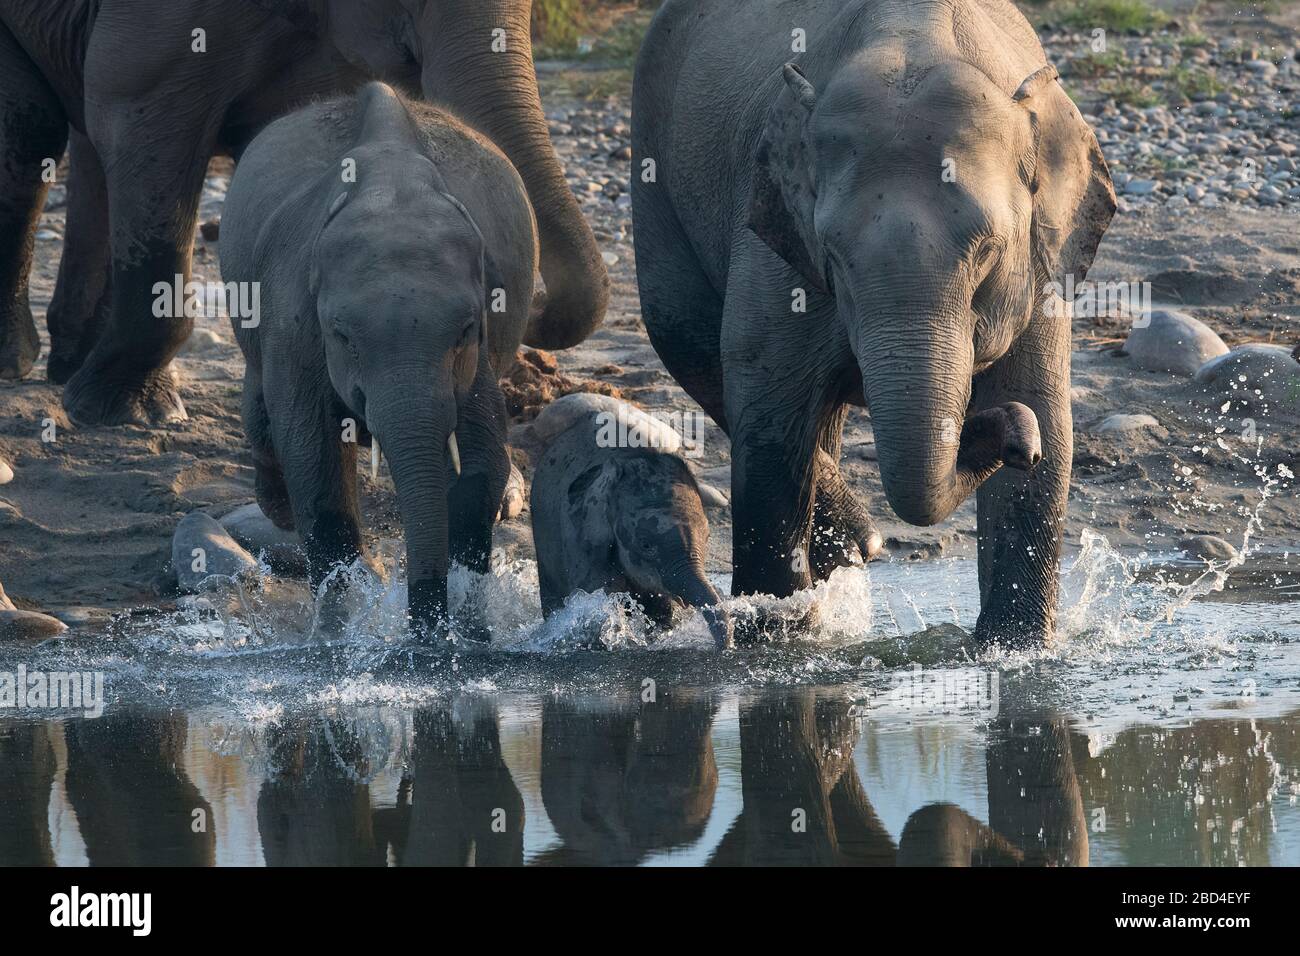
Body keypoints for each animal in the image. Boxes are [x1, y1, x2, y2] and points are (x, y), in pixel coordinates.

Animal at [0, 0, 605, 426]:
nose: (529, 307)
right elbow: (137, 118)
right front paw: (127, 412)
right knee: (32, 131)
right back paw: (25, 365)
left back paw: (71, 362)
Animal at [220, 82, 535, 634]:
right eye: (343, 335)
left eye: (466, 330)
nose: (425, 629)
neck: (391, 179)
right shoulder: (293, 317)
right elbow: (312, 452)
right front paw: (336, 628)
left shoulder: (482, 340)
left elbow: (481, 455)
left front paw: (469, 626)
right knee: (262, 415)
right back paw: (279, 512)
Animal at [527, 408, 733, 650]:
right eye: (645, 545)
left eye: (708, 537)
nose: (725, 648)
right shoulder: (582, 538)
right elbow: (600, 601)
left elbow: (662, 609)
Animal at [631, 0, 1118, 647]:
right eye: (835, 257)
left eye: (988, 251)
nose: (1009, 437)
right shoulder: (775, 242)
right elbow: (770, 420)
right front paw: (777, 643)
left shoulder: (1040, 267)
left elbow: (1043, 411)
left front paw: (1012, 649)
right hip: (653, 178)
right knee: (694, 353)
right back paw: (851, 550)